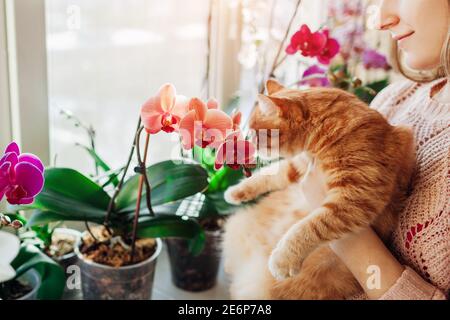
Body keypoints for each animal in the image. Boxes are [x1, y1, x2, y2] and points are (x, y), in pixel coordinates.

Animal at [221, 80, 414, 300]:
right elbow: (272, 173)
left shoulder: (356, 196)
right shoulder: (300, 165)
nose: (250, 144)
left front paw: (283, 258)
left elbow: (310, 227)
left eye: (255, 133)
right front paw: (236, 191)